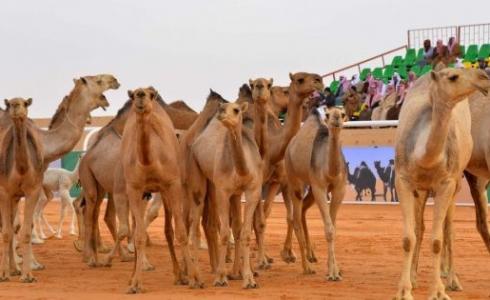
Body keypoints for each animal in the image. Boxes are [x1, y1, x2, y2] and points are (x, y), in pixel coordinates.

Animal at [119, 86, 202, 292]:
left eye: (150, 95)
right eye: (133, 95)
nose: (140, 95)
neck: (149, 162)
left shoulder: (172, 185)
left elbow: (181, 232)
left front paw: (194, 278)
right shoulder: (134, 188)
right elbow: (139, 236)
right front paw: (135, 283)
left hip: (165, 192)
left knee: (169, 230)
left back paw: (180, 275)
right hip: (142, 194)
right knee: (137, 227)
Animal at [286, 106, 346, 280]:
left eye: (343, 114)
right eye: (328, 114)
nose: (336, 118)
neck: (330, 171)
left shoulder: (340, 189)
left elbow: (333, 227)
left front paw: (334, 269)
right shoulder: (319, 187)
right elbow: (329, 229)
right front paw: (333, 274)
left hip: (310, 189)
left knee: (302, 212)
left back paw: (310, 256)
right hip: (294, 180)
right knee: (295, 218)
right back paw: (306, 267)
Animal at [392, 68, 490, 300]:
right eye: (453, 77)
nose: (484, 77)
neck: (424, 156)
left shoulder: (447, 183)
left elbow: (437, 240)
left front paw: (438, 291)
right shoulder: (403, 181)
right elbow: (409, 237)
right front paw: (404, 289)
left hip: (456, 184)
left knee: (448, 230)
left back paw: (452, 280)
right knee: (420, 227)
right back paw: (415, 276)